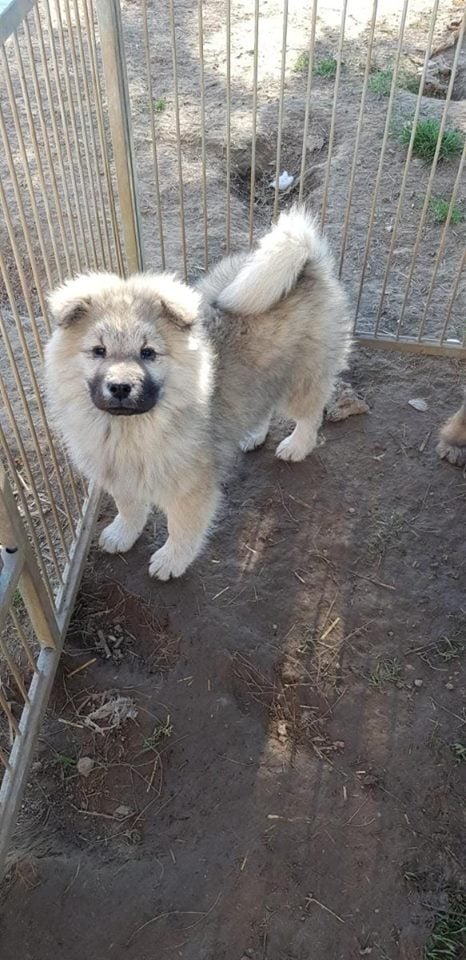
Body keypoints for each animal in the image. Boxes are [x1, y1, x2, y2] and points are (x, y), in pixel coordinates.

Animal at [45, 208, 352, 576]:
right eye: (98, 351)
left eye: (148, 353)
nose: (120, 387)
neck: (128, 430)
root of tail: (306, 261)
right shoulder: (119, 473)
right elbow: (129, 507)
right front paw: (122, 534)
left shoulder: (189, 485)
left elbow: (182, 526)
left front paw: (171, 559)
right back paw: (253, 434)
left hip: (300, 378)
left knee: (309, 414)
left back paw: (296, 446)